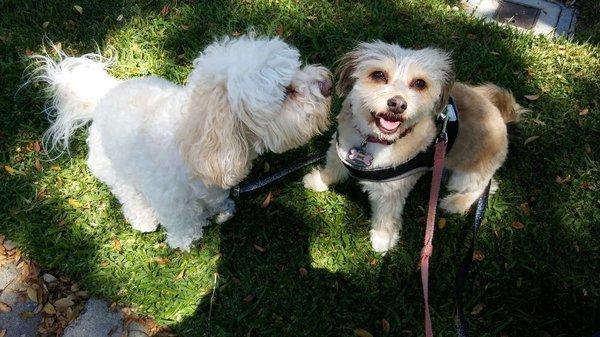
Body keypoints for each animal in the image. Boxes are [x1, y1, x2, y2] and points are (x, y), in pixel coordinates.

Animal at [34, 35, 332, 249]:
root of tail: (103, 94)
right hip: (110, 166)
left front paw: (223, 212)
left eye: (298, 68)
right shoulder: (170, 201)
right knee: (126, 192)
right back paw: (143, 218)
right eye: (286, 91)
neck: (197, 142)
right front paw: (186, 241)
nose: (328, 85)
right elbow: (182, 223)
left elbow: (218, 203)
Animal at [302, 41, 524, 252]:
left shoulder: (391, 191)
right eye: (378, 75)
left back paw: (455, 203)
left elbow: (386, 216)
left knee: (487, 187)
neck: (373, 140)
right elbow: (332, 170)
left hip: (465, 176)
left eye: (419, 83)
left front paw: (382, 239)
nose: (398, 104)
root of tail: (502, 119)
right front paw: (318, 181)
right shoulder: (337, 149)